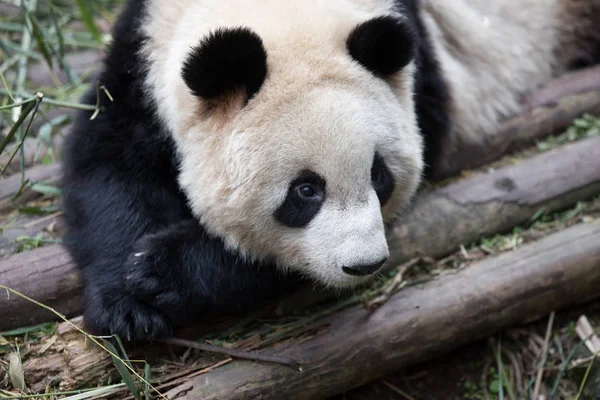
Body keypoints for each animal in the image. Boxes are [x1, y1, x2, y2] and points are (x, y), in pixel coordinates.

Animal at [61, 0, 600, 340]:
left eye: (379, 176)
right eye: (305, 192)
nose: (364, 265)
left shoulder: (421, 80)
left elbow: (274, 263)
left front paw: (164, 270)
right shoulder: (143, 51)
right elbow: (106, 163)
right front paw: (127, 306)